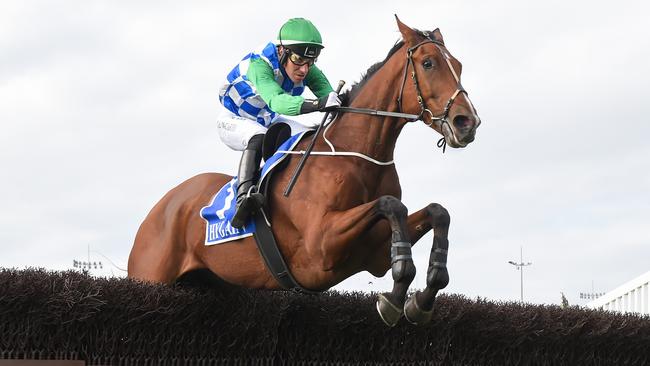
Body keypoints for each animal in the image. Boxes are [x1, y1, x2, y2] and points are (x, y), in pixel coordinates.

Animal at [128, 16, 480, 326]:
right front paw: (394, 301)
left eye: (459, 65)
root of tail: (160, 209)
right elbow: (391, 204)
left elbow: (437, 211)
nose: (467, 122)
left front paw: (421, 298)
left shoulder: (374, 253)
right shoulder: (321, 247)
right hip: (151, 276)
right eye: (429, 64)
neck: (358, 157)